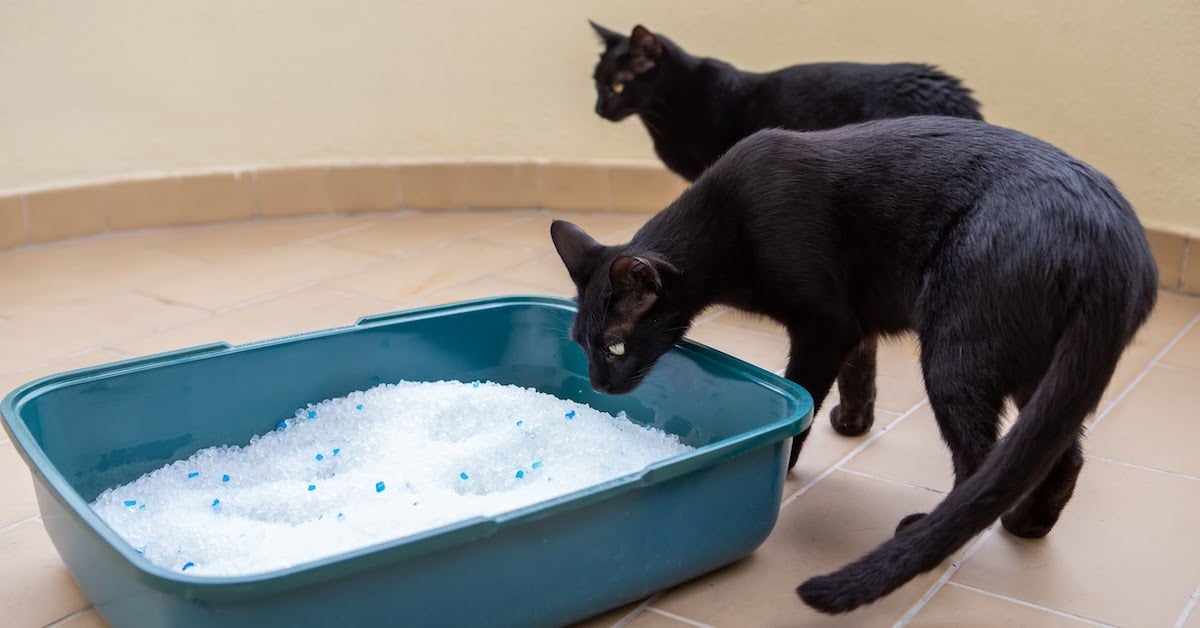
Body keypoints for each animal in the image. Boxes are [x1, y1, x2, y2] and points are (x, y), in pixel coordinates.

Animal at [549, 116, 1156, 614]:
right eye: (580, 343)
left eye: (614, 347)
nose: (599, 385)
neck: (726, 224)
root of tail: (1115, 247)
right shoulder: (855, 325)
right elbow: (859, 372)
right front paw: (854, 422)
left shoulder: (826, 323)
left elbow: (802, 400)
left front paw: (782, 468)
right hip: (1042, 371)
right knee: (1059, 453)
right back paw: (1028, 523)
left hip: (955, 353)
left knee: (981, 461)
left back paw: (929, 535)